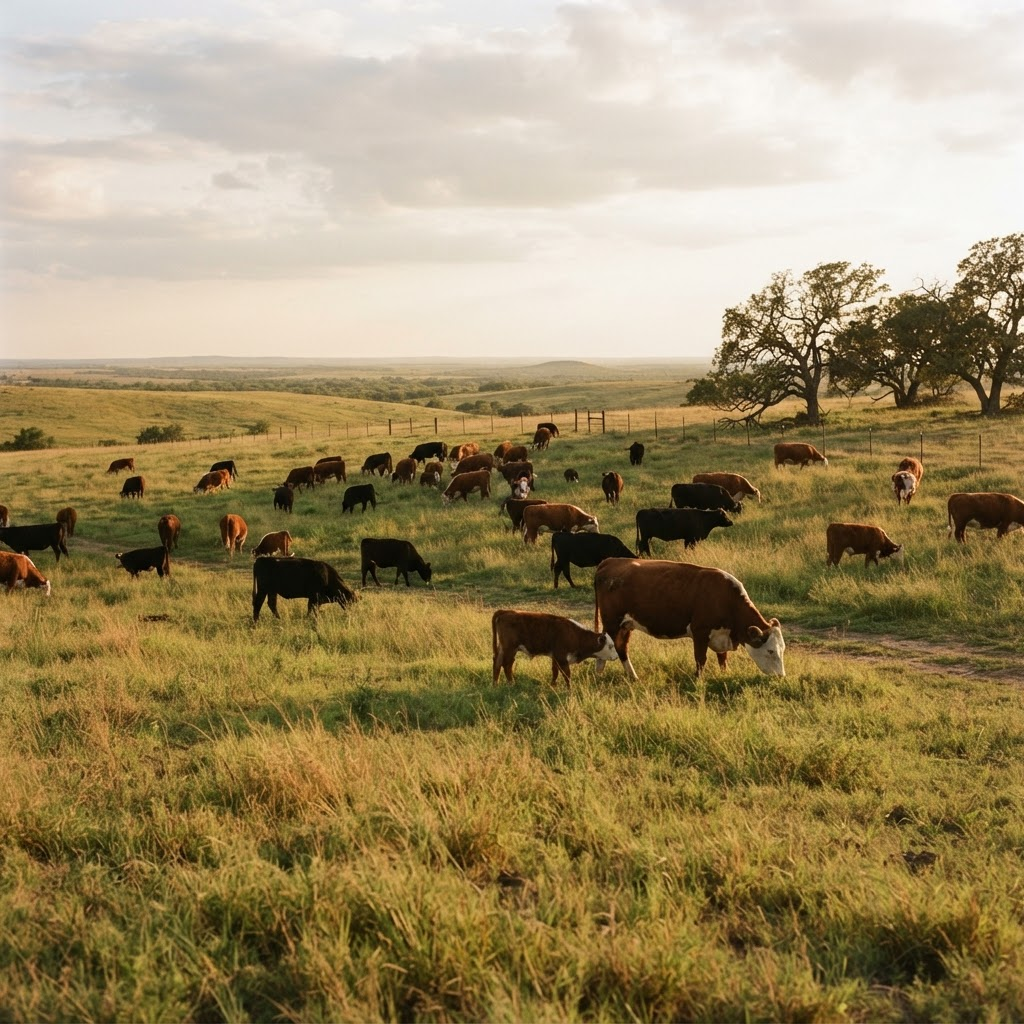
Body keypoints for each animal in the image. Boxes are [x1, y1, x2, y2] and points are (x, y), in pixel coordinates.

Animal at [594, 558, 786, 679]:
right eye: (771, 651)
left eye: (782, 649)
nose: (781, 676)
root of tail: (611, 560)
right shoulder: (700, 632)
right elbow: (700, 659)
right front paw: (698, 680)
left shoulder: (721, 636)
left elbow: (722, 659)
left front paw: (725, 674)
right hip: (613, 622)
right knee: (610, 644)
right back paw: (604, 672)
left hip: (626, 625)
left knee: (620, 647)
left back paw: (630, 676)